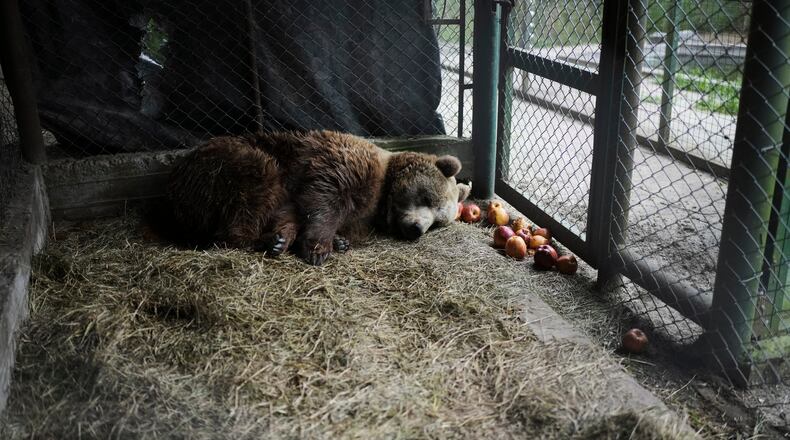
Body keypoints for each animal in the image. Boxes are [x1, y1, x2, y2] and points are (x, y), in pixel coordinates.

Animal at [163, 130, 471, 265]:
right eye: (429, 198)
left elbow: (293, 212)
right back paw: (259, 239)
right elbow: (324, 200)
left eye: (438, 222)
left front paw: (333, 240)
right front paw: (318, 247)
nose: (417, 229)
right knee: (254, 188)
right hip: (226, 165)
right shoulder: (342, 167)